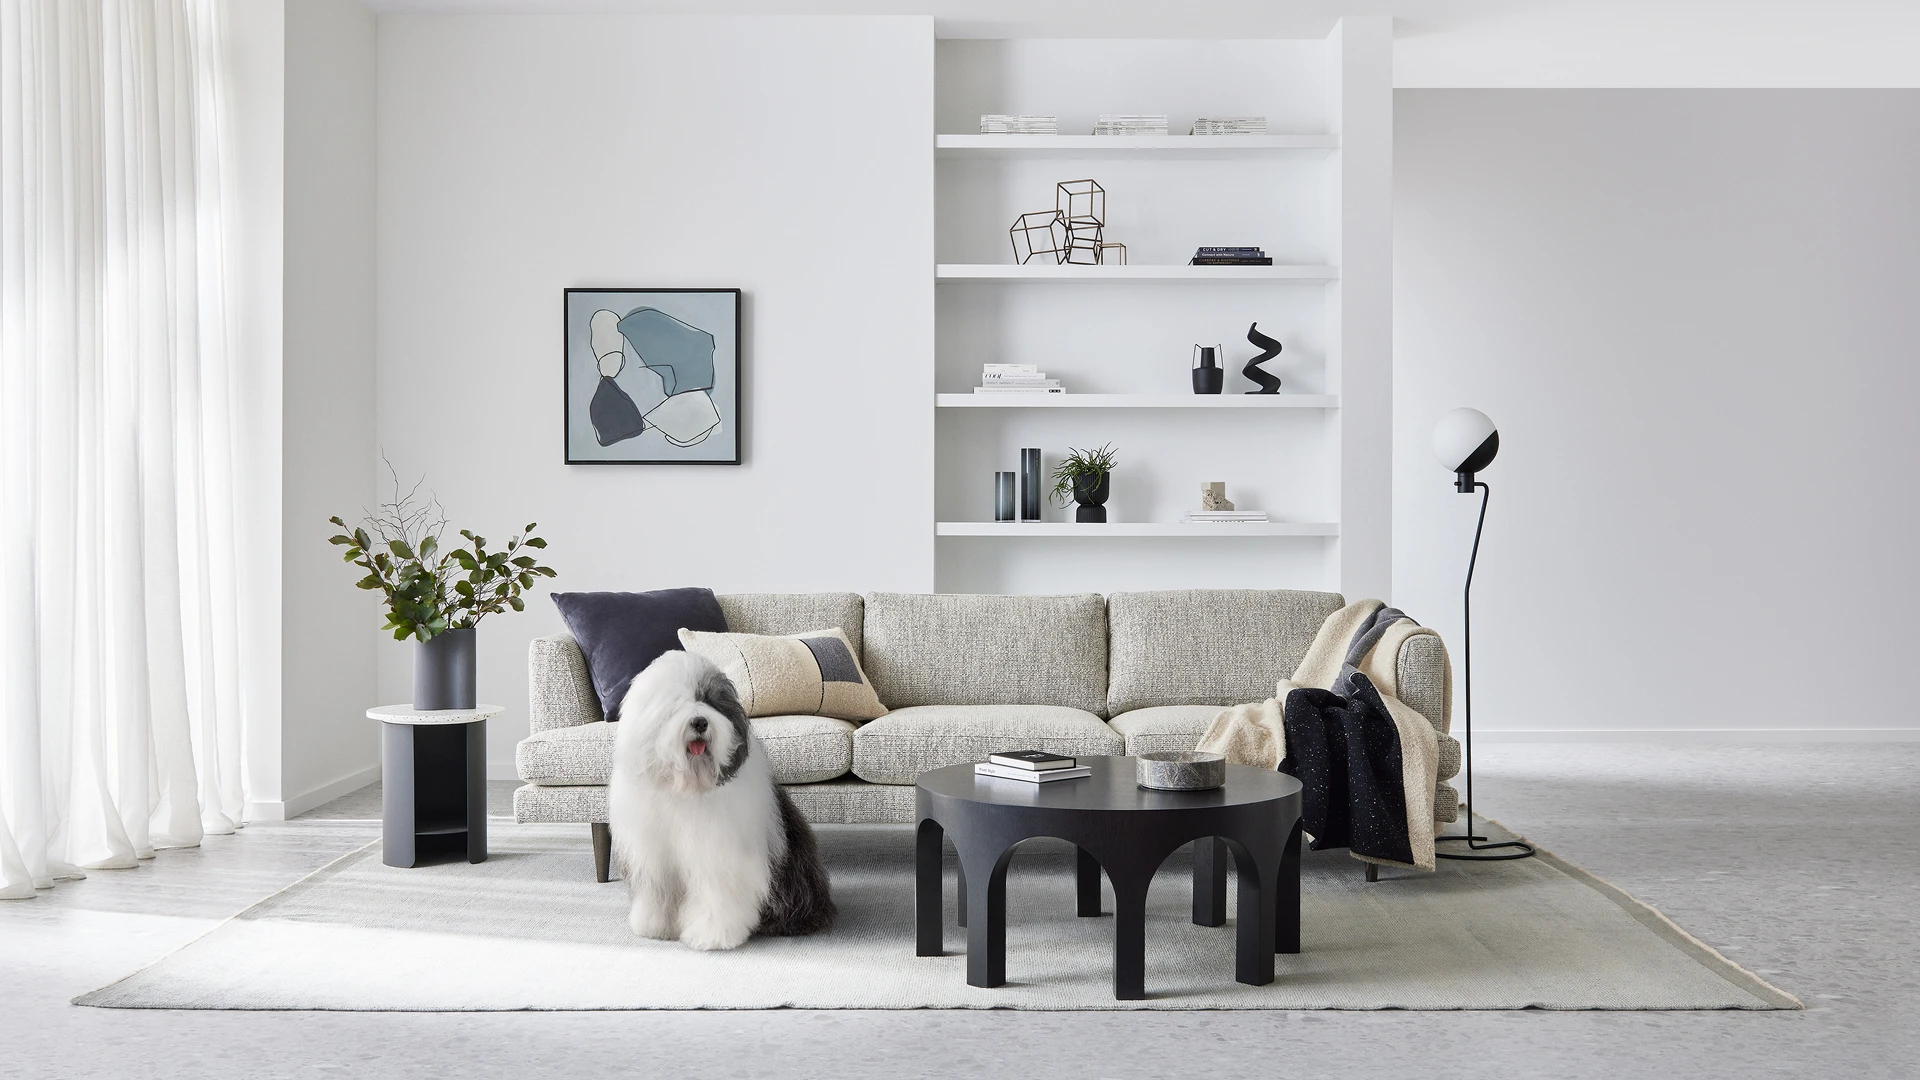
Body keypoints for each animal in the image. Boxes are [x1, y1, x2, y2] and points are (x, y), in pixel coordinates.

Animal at [606, 645, 833, 941]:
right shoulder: (654, 856)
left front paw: (712, 935)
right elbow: (658, 893)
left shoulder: (718, 855)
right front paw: (655, 926)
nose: (700, 722)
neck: (686, 788)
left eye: (710, 701)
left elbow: (716, 895)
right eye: (677, 704)